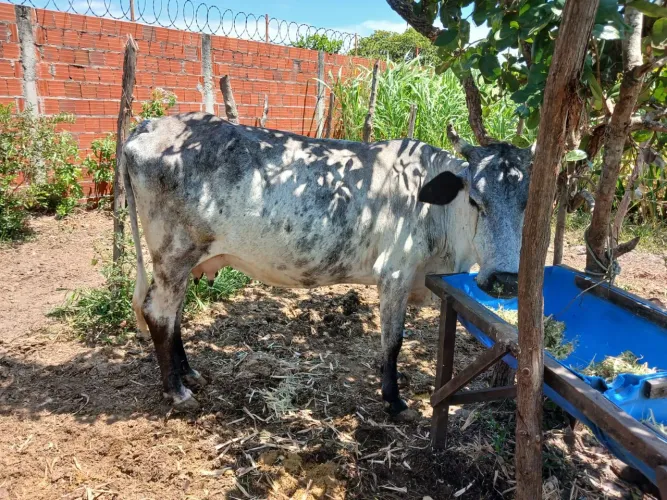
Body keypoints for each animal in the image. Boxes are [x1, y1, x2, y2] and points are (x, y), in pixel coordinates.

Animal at [121, 112, 533, 417]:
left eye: (528, 202)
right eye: (475, 199)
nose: (505, 279)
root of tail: (148, 127)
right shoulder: (394, 274)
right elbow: (393, 342)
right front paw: (393, 399)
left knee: (173, 315)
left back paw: (190, 373)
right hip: (174, 254)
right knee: (158, 313)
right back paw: (177, 391)